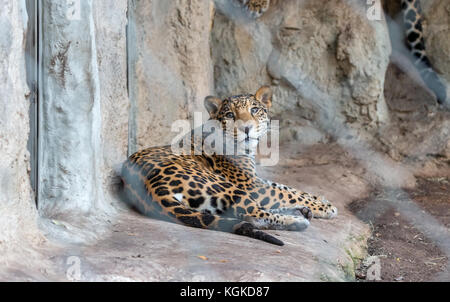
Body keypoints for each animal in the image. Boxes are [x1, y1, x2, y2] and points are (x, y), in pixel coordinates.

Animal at [120, 86, 338, 247]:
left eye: (254, 110)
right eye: (230, 115)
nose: (246, 128)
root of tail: (149, 186)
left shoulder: (254, 178)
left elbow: (286, 187)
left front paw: (318, 200)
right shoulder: (250, 184)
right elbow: (284, 193)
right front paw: (326, 207)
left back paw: (300, 212)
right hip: (224, 186)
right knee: (253, 214)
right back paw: (299, 219)